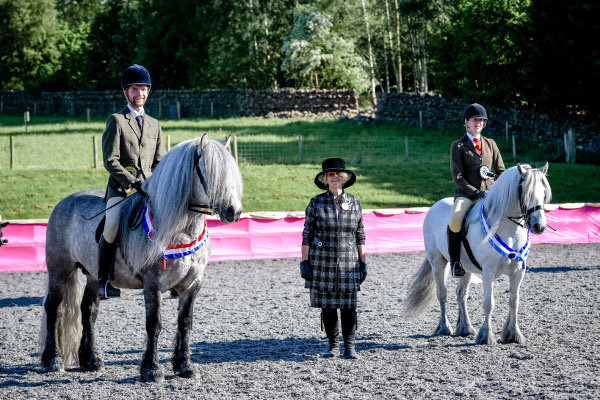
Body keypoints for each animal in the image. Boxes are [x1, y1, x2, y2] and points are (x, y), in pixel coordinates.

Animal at [406, 162, 552, 344]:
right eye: (526, 194)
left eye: (544, 193)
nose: (539, 226)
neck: (508, 229)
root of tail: (435, 205)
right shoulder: (488, 273)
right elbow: (489, 303)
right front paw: (486, 335)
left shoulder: (518, 272)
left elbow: (514, 301)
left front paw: (513, 334)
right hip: (437, 262)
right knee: (442, 294)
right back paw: (444, 327)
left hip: (466, 268)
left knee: (461, 294)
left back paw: (465, 328)